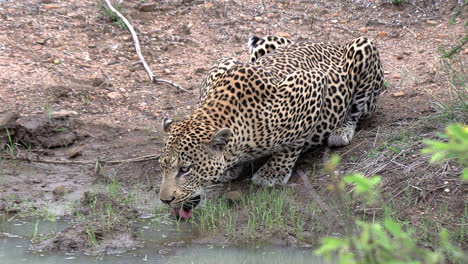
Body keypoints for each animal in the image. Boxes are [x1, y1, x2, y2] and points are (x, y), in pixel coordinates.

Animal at [157, 35, 384, 219]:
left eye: (185, 169)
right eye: (162, 167)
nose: (164, 200)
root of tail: (333, 43)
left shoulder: (312, 82)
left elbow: (292, 144)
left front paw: (273, 172)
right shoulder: (222, 64)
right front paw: (230, 168)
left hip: (364, 50)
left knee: (357, 111)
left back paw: (341, 130)